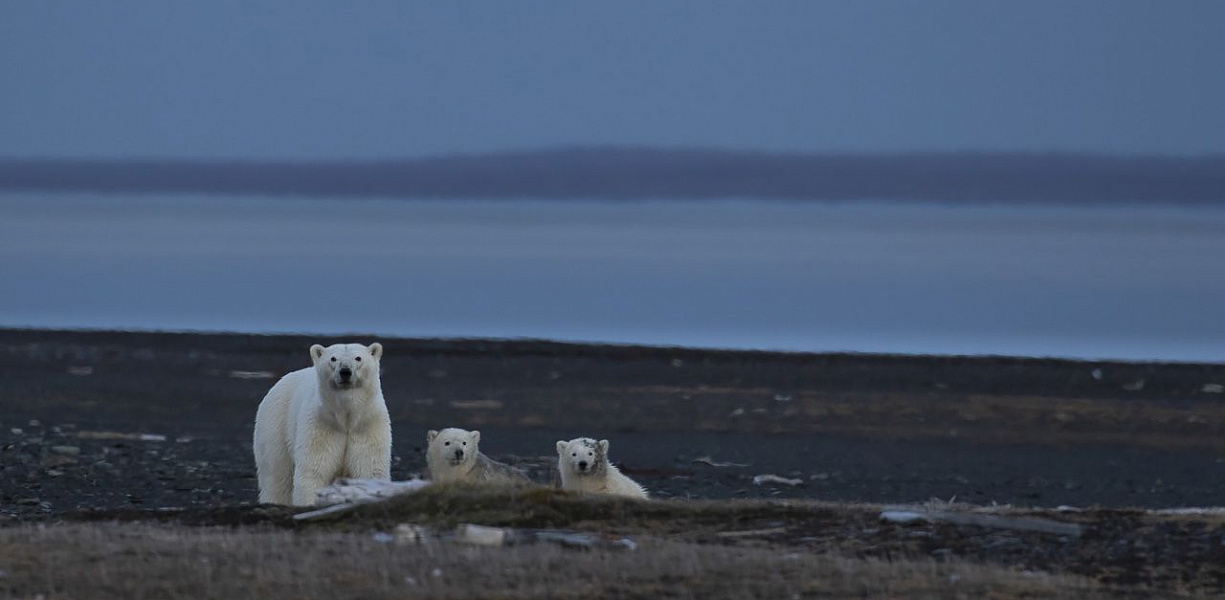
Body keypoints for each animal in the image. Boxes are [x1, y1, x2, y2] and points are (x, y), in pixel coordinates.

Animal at [253, 342, 392, 506]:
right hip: (276, 423)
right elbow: (315, 470)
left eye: (358, 358)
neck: (346, 420)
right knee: (276, 474)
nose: (345, 372)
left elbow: (370, 469)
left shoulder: (367, 425)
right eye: (333, 358)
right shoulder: (321, 426)